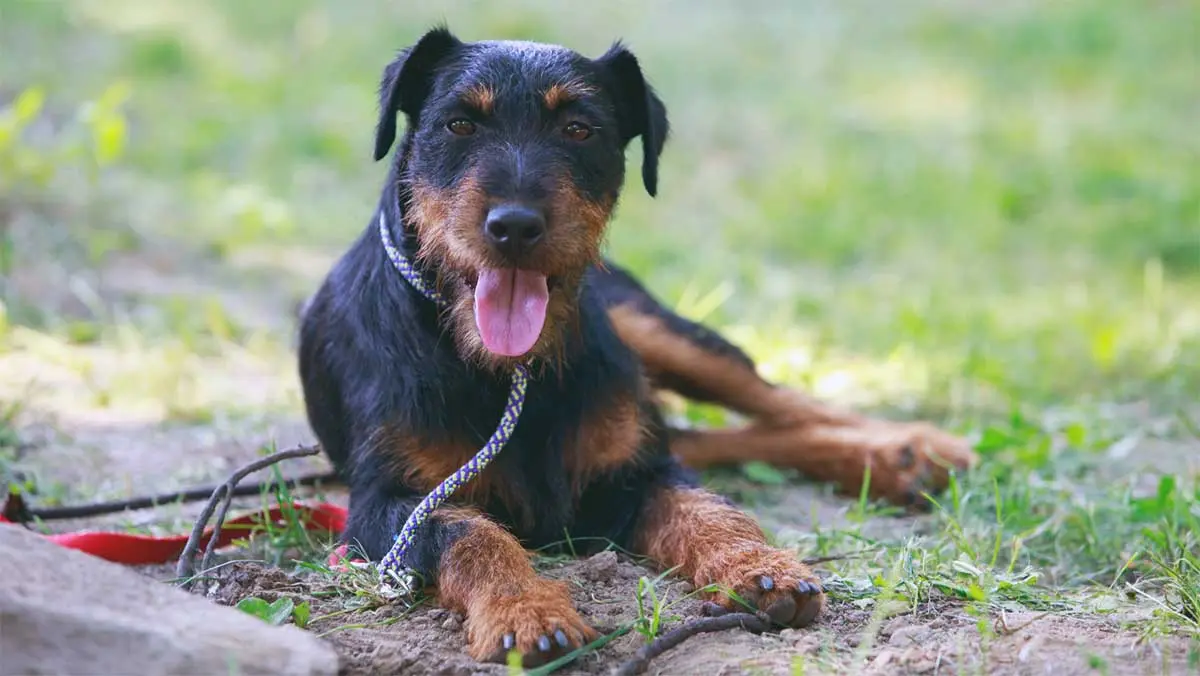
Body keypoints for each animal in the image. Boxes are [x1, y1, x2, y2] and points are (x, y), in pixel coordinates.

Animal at [297, 26, 974, 667]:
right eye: (458, 123)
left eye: (579, 129)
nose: (514, 226)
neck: (511, 371)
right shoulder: (385, 508)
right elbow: (469, 534)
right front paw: (527, 614)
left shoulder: (640, 472)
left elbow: (708, 507)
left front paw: (758, 565)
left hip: (657, 331)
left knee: (775, 401)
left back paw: (909, 451)